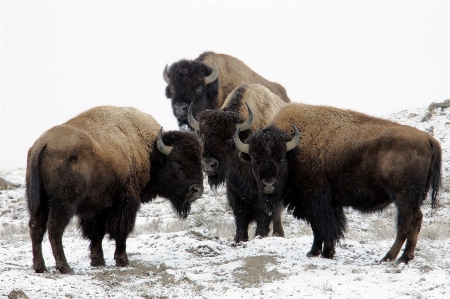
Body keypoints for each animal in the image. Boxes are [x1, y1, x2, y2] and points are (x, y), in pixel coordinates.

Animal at [26, 106, 204, 276]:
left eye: (199, 161)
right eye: (177, 162)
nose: (196, 190)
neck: (150, 152)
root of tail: (43, 144)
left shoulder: (96, 209)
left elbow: (97, 234)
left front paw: (98, 261)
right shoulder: (126, 204)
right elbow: (121, 232)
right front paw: (123, 261)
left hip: (39, 202)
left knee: (36, 227)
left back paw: (40, 267)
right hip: (64, 204)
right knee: (54, 229)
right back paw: (65, 268)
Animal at [188, 83, 286, 243]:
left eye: (229, 138)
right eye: (202, 136)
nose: (208, 164)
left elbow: (263, 213)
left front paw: (260, 235)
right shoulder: (234, 189)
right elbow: (240, 214)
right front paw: (239, 238)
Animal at [236, 103, 442, 264]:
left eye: (280, 157)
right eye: (255, 159)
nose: (268, 185)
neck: (294, 150)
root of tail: (428, 139)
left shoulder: (317, 201)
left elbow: (323, 226)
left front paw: (324, 253)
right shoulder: (323, 204)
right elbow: (320, 228)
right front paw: (315, 252)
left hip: (405, 197)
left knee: (410, 222)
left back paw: (399, 258)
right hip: (407, 199)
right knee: (407, 223)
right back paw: (392, 258)